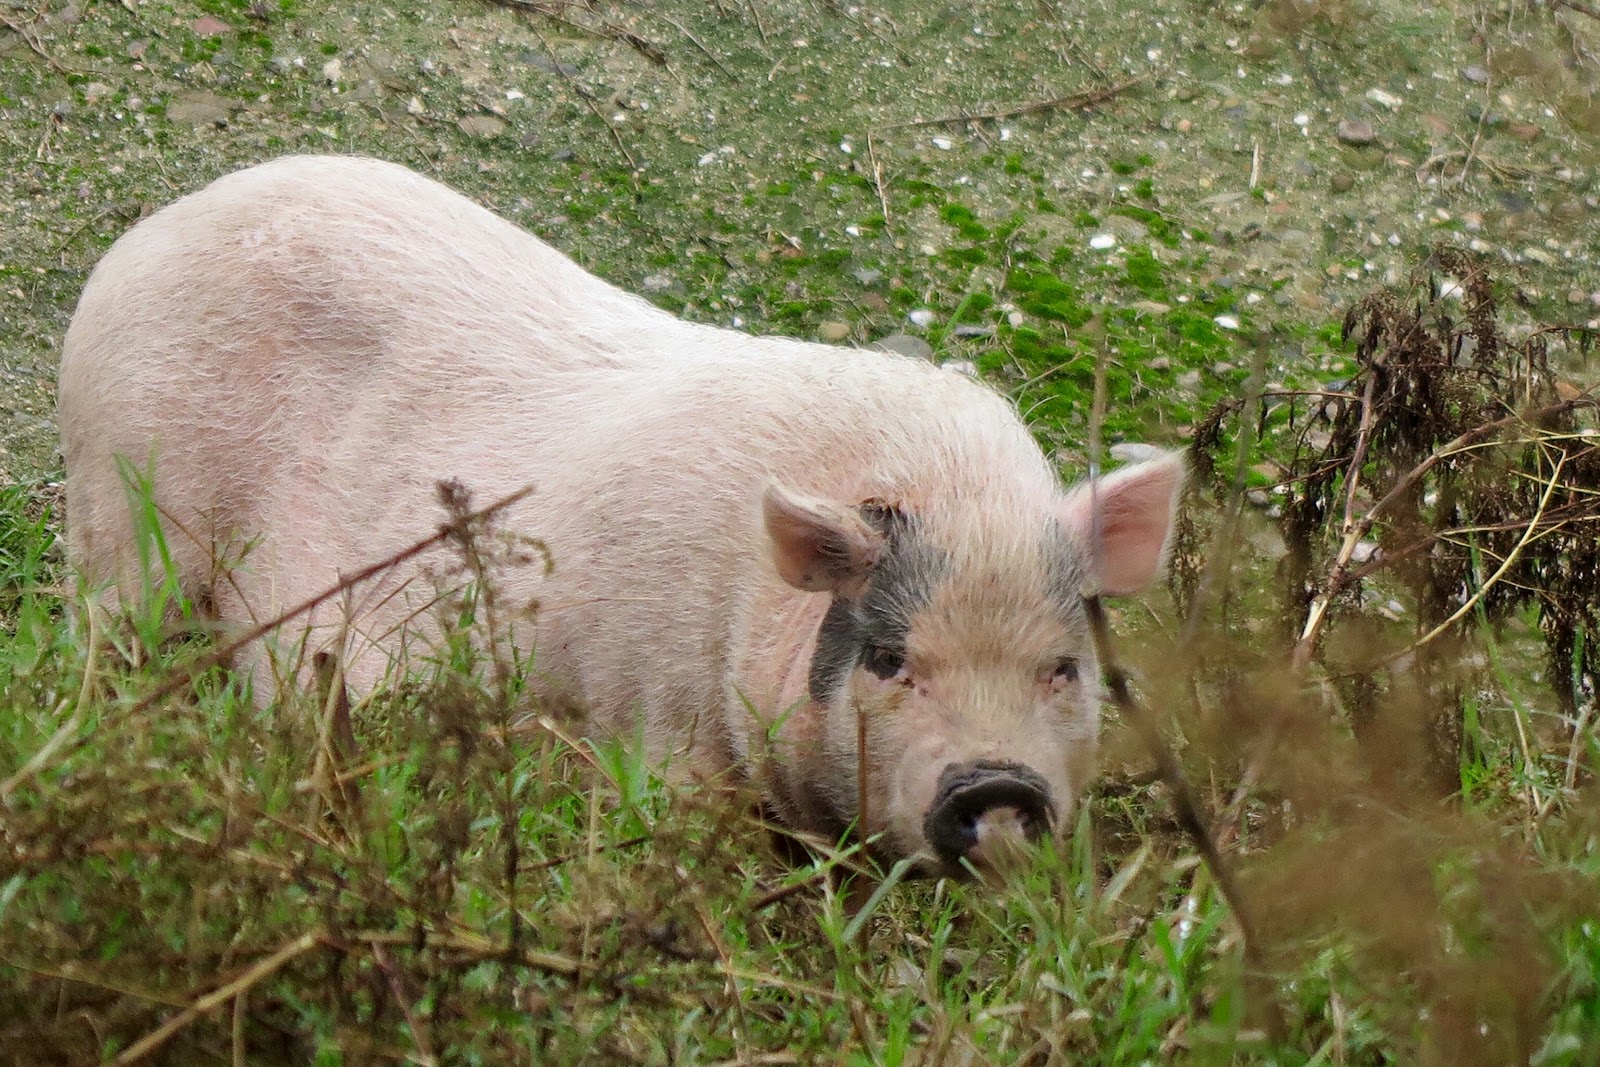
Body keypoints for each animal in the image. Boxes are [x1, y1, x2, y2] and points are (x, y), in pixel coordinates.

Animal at [58, 155, 1185, 877]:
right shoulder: (651, 706)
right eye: (889, 658)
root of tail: (149, 233)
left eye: (1064, 666)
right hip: (125, 498)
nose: (994, 785)